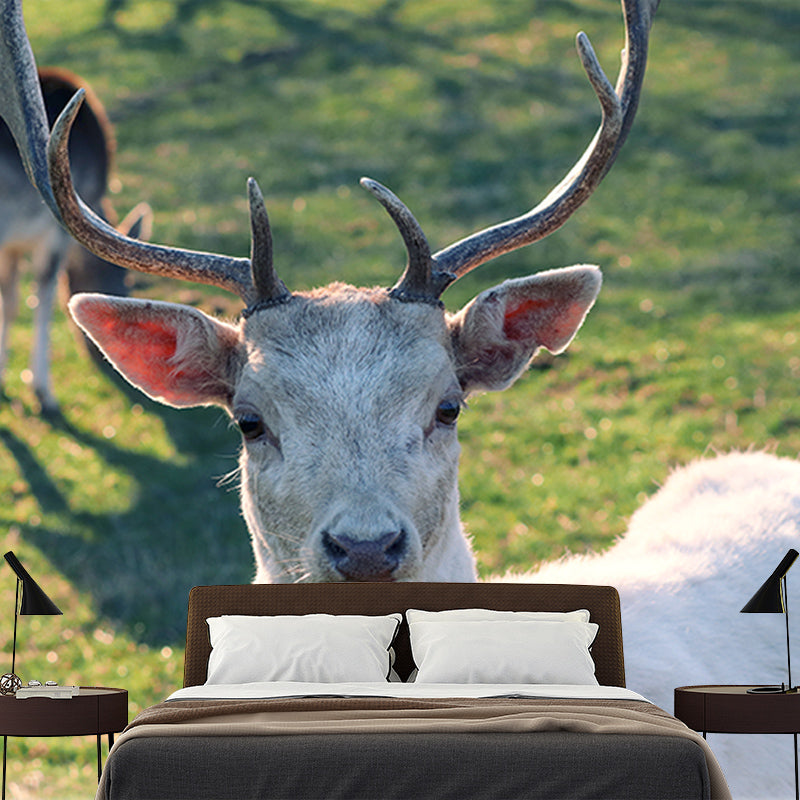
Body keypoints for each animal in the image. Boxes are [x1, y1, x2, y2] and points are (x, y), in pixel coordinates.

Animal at [0, 65, 150, 414]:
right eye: (129, 283)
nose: (106, 359)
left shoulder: (13, 244)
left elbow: (9, 302)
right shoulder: (53, 233)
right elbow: (43, 298)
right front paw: (44, 392)